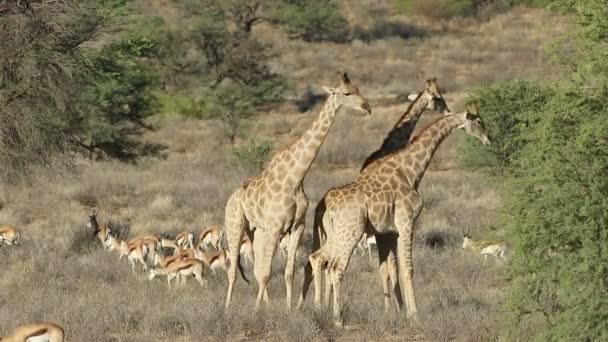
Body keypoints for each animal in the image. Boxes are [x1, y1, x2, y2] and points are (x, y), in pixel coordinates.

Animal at [223, 72, 370, 310]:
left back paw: (266, 304)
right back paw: (228, 308)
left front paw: (288, 308)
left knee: (256, 268)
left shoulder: (296, 227)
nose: (367, 106)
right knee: (234, 270)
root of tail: (231, 198)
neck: (295, 178)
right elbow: (267, 272)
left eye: (358, 89)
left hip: (257, 231)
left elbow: (288, 271)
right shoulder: (276, 227)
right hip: (235, 224)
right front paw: (256, 310)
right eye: (346, 93)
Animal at [298, 103, 490, 326]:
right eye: (479, 121)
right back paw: (338, 319)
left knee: (318, 258)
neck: (411, 172)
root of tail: (324, 205)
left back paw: (321, 310)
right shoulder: (406, 223)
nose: (488, 139)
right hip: (351, 232)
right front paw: (414, 314)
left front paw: (401, 312)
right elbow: (408, 268)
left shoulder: (391, 231)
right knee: (336, 267)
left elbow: (393, 268)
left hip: (336, 233)